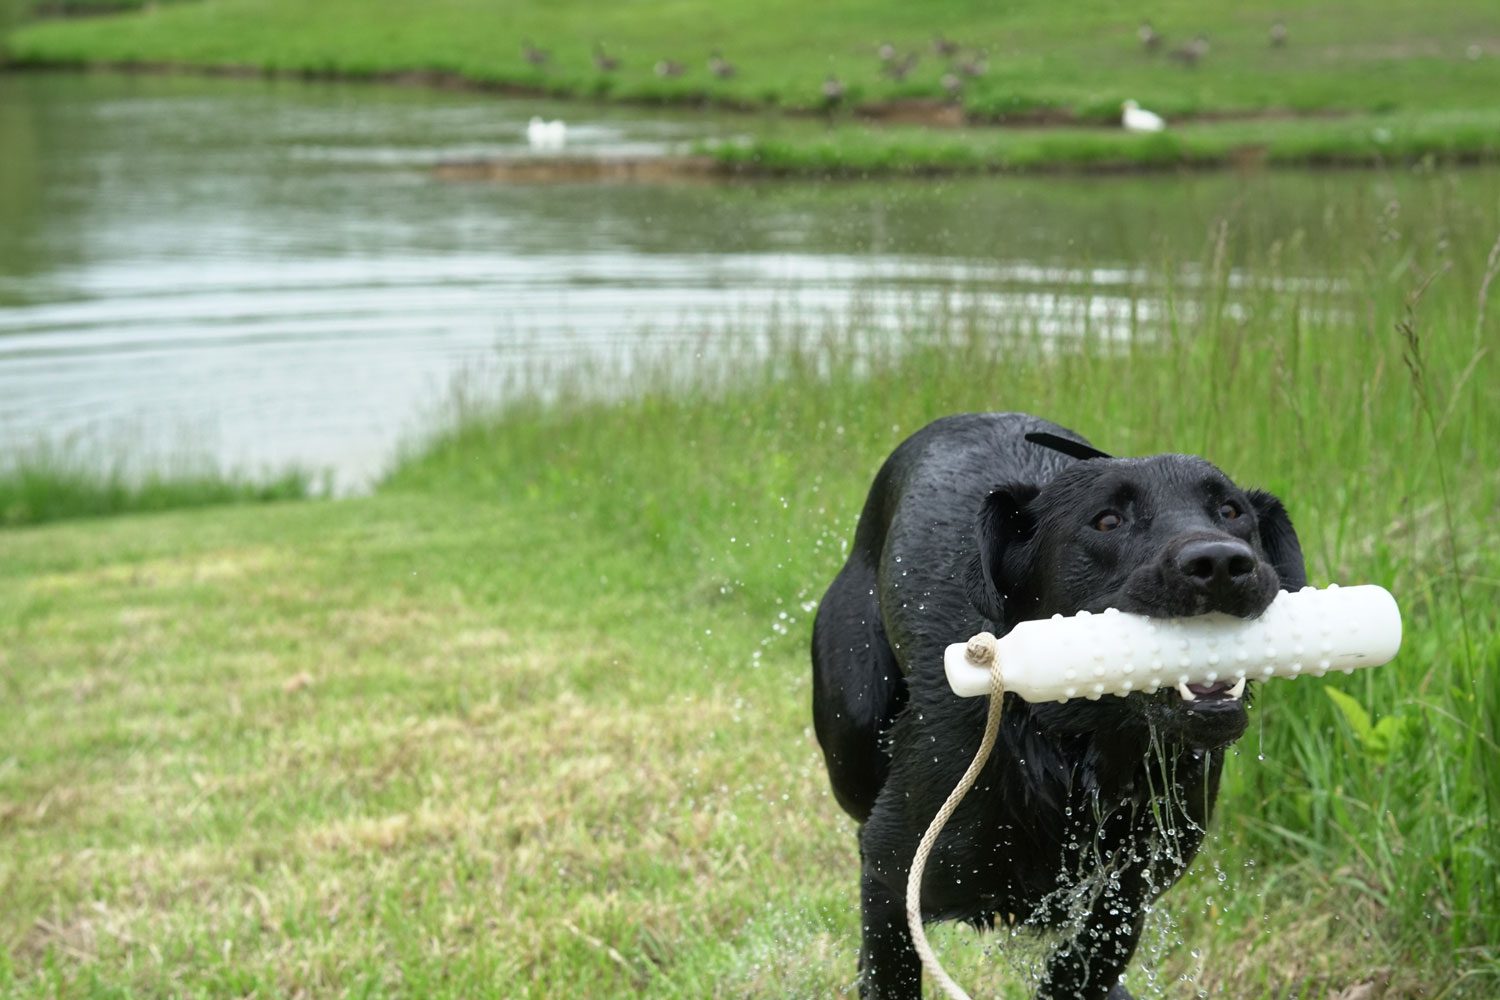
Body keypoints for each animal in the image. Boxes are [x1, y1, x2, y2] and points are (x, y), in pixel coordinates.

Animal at [810, 410, 1302, 995]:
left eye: (1231, 512)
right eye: (1107, 521)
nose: (1223, 562)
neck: (1072, 754)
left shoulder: (1124, 897)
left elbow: (1078, 968)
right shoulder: (893, 877)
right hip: (852, 722)